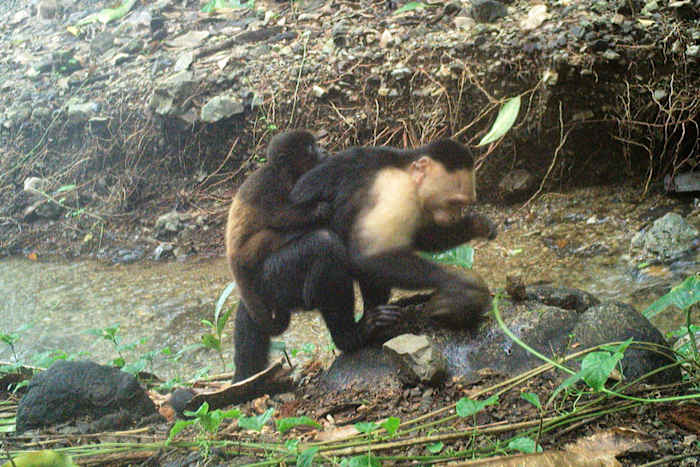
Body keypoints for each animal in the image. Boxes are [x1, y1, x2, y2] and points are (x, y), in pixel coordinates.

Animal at [225, 130, 331, 333]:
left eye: (315, 144)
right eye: (310, 147)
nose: (323, 150)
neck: (284, 174)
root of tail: (231, 260)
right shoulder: (269, 185)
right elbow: (278, 216)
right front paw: (318, 209)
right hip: (246, 254)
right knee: (269, 232)